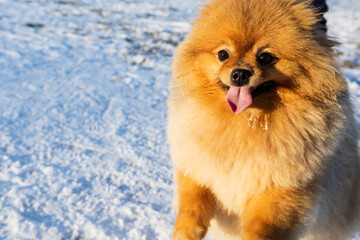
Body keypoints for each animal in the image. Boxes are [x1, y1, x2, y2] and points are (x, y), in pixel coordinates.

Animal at [169, 0, 360, 239]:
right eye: (223, 54)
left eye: (265, 57)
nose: (239, 74)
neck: (246, 123)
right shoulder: (198, 169)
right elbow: (192, 207)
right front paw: (184, 233)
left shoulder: (281, 192)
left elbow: (262, 228)